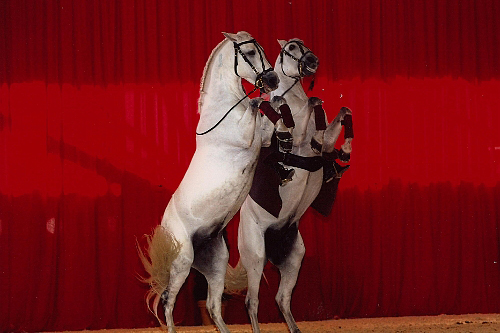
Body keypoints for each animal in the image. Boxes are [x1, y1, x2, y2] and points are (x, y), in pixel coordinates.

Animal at [139, 31, 280, 332]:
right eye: (251, 52)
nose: (273, 79)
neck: (224, 108)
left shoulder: (262, 138)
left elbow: (270, 127)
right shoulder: (243, 135)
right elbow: (255, 105)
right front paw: (267, 97)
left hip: (216, 264)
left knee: (214, 306)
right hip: (182, 263)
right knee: (168, 302)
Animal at [236, 39, 354, 332]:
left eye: (304, 45)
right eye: (291, 48)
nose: (313, 61)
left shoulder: (322, 140)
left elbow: (338, 116)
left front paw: (343, 150)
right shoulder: (299, 139)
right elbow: (308, 110)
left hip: (294, 257)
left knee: (282, 298)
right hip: (256, 257)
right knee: (252, 302)